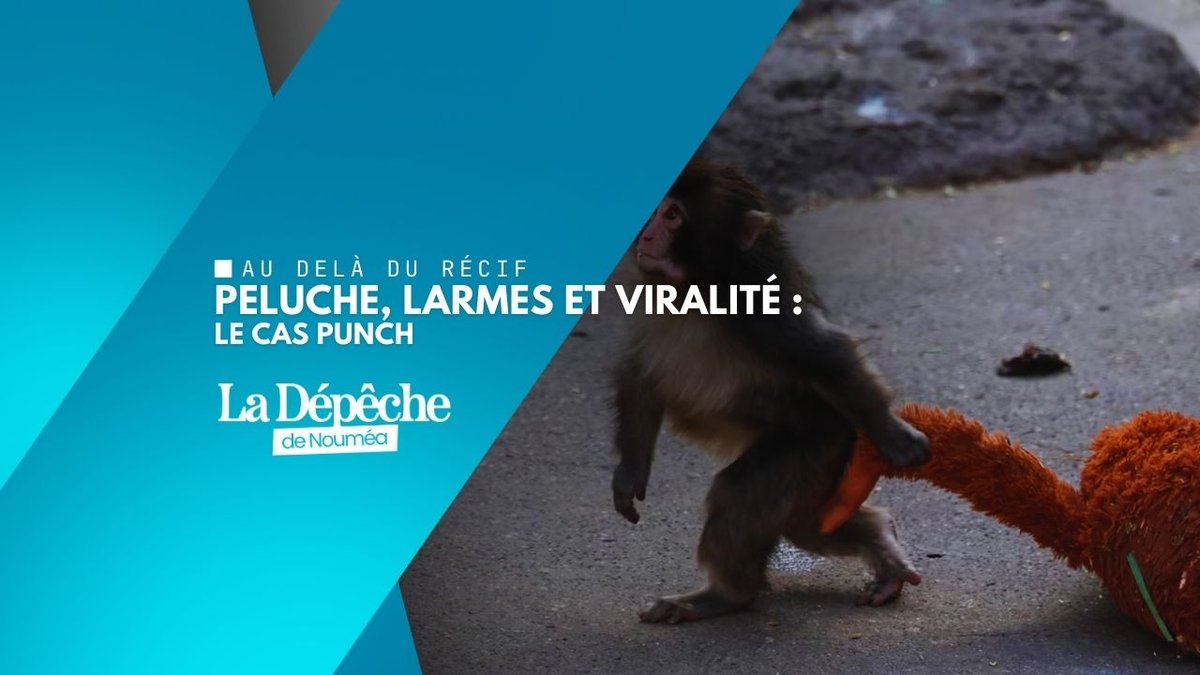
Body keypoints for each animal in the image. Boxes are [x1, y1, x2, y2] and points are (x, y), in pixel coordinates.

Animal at [611, 158, 928, 624]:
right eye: (654, 211)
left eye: (672, 216)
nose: (646, 234)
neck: (695, 286)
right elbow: (639, 373)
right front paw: (630, 472)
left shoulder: (760, 308)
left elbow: (827, 355)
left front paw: (895, 435)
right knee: (809, 524)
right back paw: (881, 541)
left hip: (817, 444)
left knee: (742, 494)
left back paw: (725, 595)